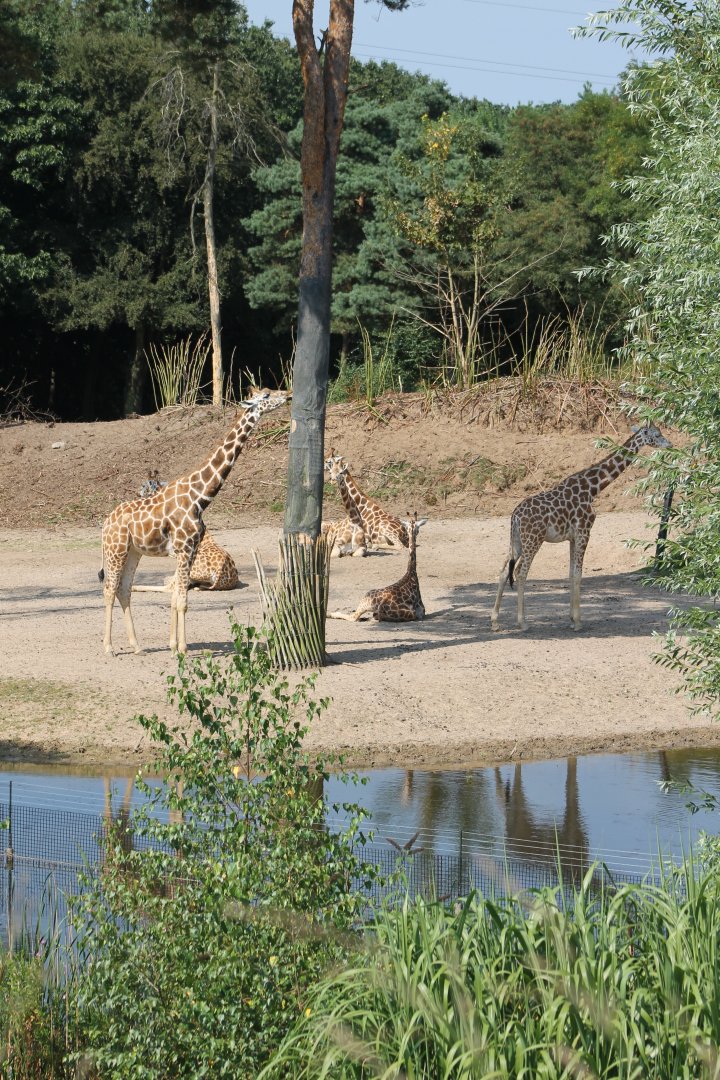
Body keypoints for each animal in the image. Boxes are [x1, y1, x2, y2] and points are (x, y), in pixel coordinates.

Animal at [100, 389, 289, 655]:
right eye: (266, 395)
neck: (200, 497)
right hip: (115, 549)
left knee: (124, 589)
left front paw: (175, 645)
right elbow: (181, 600)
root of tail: (106, 523)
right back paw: (109, 647)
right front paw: (181, 649)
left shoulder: (189, 551)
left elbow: (179, 598)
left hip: (133, 551)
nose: (288, 395)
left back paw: (137, 646)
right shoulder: (184, 549)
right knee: (109, 589)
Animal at [490, 423, 671, 632]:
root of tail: (516, 516)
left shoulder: (572, 537)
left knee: (504, 571)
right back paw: (523, 622)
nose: (669, 444)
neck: (592, 488)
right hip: (533, 540)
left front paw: (571, 618)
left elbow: (570, 574)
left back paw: (495, 622)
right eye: (657, 435)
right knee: (520, 572)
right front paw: (578, 622)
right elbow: (578, 574)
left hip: (516, 541)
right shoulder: (585, 531)